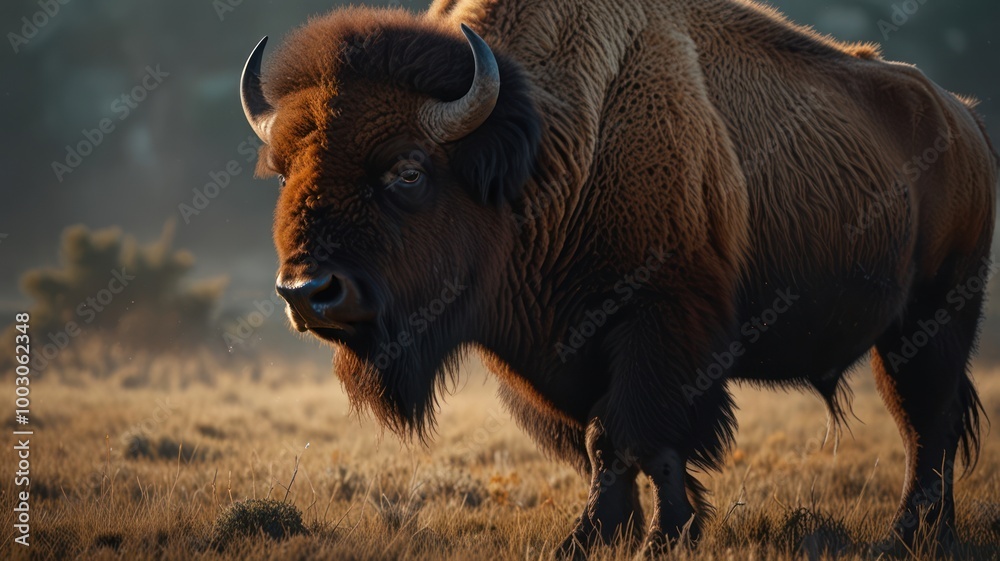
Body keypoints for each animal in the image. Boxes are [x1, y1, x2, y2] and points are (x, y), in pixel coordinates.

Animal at [239, 0, 997, 554]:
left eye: (407, 170)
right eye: (284, 170)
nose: (308, 292)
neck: (544, 154)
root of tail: (962, 119)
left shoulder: (656, 326)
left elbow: (622, 436)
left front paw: (606, 537)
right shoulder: (563, 354)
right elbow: (620, 442)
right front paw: (651, 530)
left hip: (932, 320)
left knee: (925, 421)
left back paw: (906, 536)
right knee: (935, 421)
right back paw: (934, 535)